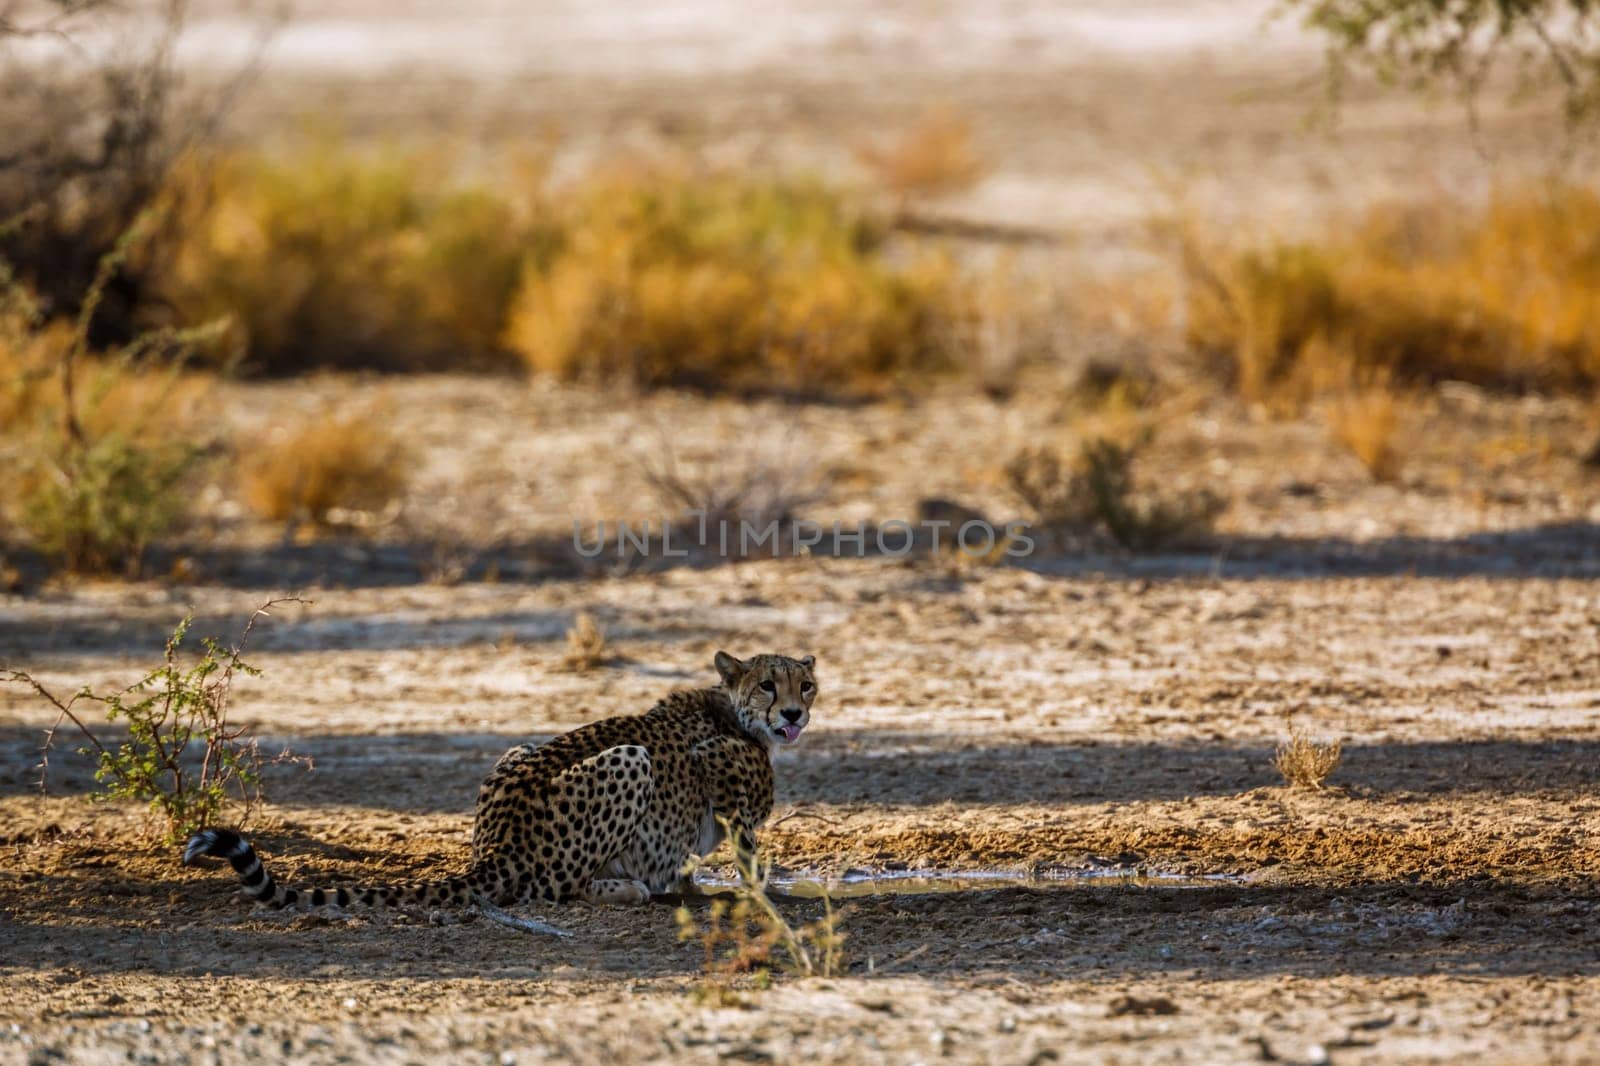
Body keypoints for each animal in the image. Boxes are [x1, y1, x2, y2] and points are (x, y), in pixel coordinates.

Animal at [181, 653, 819, 909]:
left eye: (806, 685)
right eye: (768, 684)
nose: (793, 713)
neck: (735, 715)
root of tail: (494, 849)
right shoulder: (717, 767)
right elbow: (746, 850)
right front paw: (758, 892)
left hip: (518, 750)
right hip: (630, 758)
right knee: (556, 888)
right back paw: (628, 888)